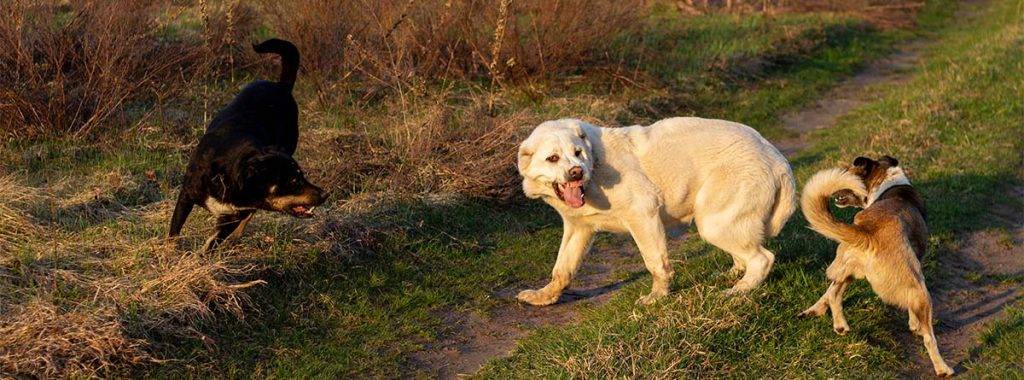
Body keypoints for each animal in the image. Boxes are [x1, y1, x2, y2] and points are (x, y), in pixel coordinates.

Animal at [169, 39, 325, 252]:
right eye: (294, 181)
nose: (325, 194)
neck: (229, 178)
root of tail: (281, 87)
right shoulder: (186, 194)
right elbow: (174, 229)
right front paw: (170, 251)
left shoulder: (234, 216)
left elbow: (214, 240)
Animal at [516, 117, 794, 305]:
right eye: (552, 158)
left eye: (577, 153)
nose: (577, 172)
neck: (595, 167)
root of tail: (777, 158)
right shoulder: (578, 228)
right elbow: (562, 268)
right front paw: (544, 296)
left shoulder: (643, 213)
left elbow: (655, 263)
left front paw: (657, 297)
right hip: (721, 222)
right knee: (745, 253)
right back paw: (732, 275)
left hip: (714, 222)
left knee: (762, 258)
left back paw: (740, 290)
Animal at [798, 156, 950, 376]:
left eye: (847, 171)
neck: (888, 181)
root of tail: (867, 233)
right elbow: (913, 315)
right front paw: (914, 325)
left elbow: (826, 293)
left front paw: (814, 310)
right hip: (919, 289)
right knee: (930, 338)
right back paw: (943, 368)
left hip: (849, 269)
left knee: (834, 292)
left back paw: (840, 326)